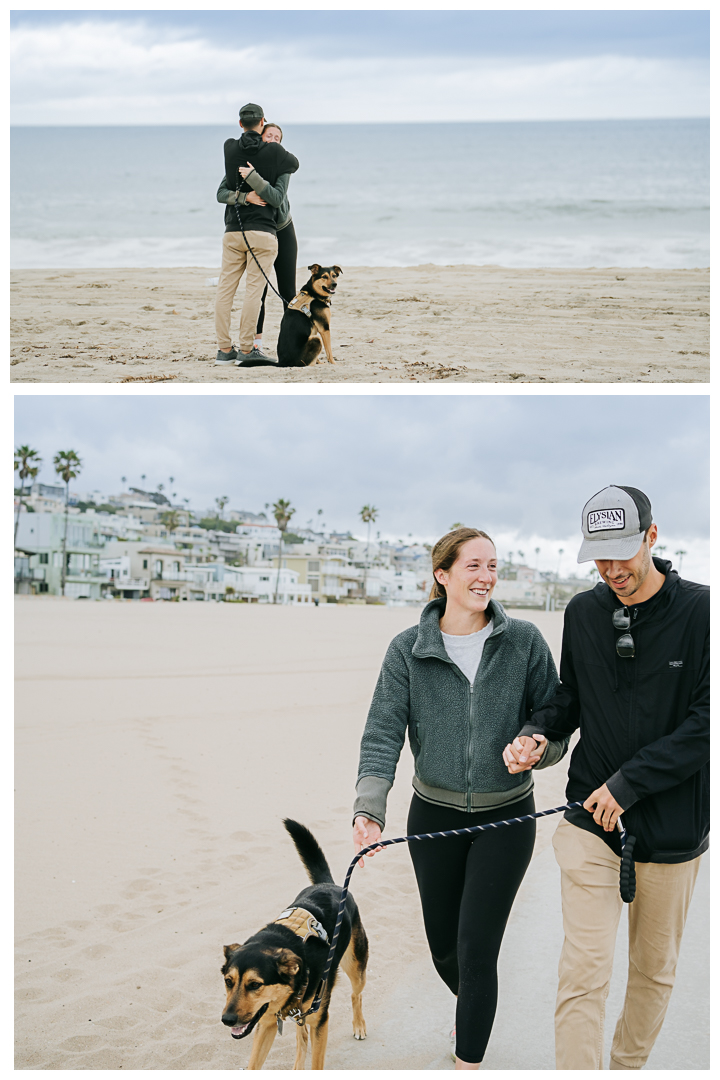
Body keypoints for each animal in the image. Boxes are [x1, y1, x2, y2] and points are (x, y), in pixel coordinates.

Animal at [221, 820, 369, 1067]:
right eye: (228, 982)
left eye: (255, 985)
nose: (227, 1019)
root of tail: (328, 884)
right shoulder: (267, 1022)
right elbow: (254, 1065)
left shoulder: (319, 1021)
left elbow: (316, 1064)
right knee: (302, 1036)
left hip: (355, 967)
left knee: (355, 994)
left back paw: (359, 1025)